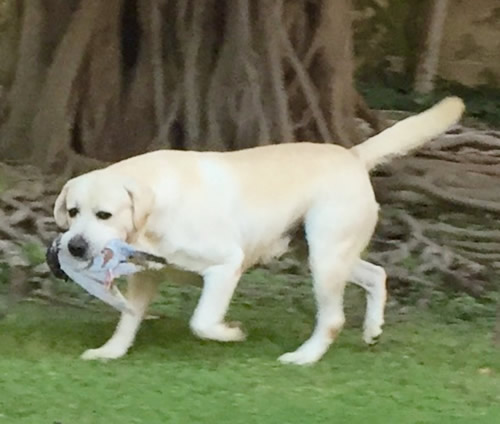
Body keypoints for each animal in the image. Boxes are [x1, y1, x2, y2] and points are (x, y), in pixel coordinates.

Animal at [52, 97, 464, 365]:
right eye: (73, 211)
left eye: (104, 214)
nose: (74, 247)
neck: (155, 208)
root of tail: (352, 155)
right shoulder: (146, 277)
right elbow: (128, 318)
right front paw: (110, 352)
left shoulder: (225, 266)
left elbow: (202, 321)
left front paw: (231, 333)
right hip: (320, 251)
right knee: (376, 274)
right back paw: (372, 329)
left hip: (325, 258)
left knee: (332, 319)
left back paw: (303, 357)